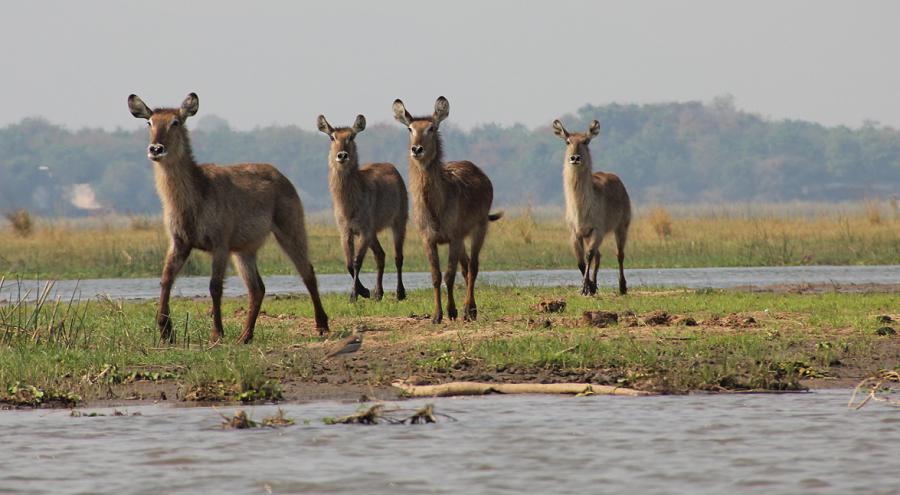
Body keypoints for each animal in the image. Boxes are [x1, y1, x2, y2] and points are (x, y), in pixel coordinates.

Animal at [128, 92, 328, 344]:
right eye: (150, 122)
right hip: (244, 250)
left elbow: (214, 286)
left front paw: (216, 333)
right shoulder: (179, 242)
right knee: (257, 288)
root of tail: (281, 175)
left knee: (307, 272)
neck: (195, 195)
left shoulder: (220, 243)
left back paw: (322, 325)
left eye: (175, 122)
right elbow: (166, 280)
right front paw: (166, 331)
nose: (156, 148)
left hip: (290, 229)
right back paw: (245, 336)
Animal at [312, 115, 404, 304]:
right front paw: (365, 291)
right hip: (373, 233)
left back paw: (400, 293)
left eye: (351, 136)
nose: (342, 155)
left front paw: (354, 295)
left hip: (399, 220)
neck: (349, 205)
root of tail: (392, 167)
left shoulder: (364, 231)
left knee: (398, 257)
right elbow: (348, 263)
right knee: (381, 255)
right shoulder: (346, 231)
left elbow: (356, 262)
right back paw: (378, 293)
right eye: (332, 137)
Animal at [392, 96, 500, 326]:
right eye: (410, 128)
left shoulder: (454, 237)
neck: (435, 207)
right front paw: (436, 315)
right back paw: (468, 308)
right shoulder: (428, 239)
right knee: (466, 267)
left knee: (473, 267)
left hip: (479, 228)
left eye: (431, 127)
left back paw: (470, 309)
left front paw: (452, 311)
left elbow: (449, 275)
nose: (417, 149)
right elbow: (436, 276)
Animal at [552, 119, 628, 298]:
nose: (575, 158)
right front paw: (590, 287)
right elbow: (581, 261)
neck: (580, 208)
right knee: (599, 256)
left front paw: (586, 287)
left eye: (586, 141)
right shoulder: (575, 233)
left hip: (622, 226)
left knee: (619, 254)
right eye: (567, 141)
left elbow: (588, 256)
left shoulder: (597, 230)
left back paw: (622, 287)